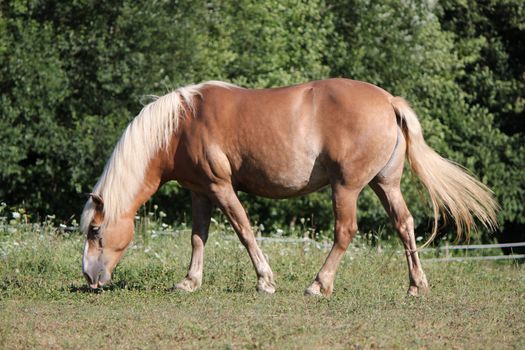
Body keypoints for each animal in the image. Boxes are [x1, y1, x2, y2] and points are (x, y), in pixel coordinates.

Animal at [80, 77, 498, 296]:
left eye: (96, 230)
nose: (89, 277)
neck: (182, 125)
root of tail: (389, 101)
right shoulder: (200, 191)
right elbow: (199, 237)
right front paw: (189, 281)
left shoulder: (220, 186)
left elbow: (244, 230)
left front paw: (265, 280)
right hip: (386, 184)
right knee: (405, 225)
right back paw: (416, 285)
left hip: (346, 188)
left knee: (345, 231)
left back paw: (319, 285)